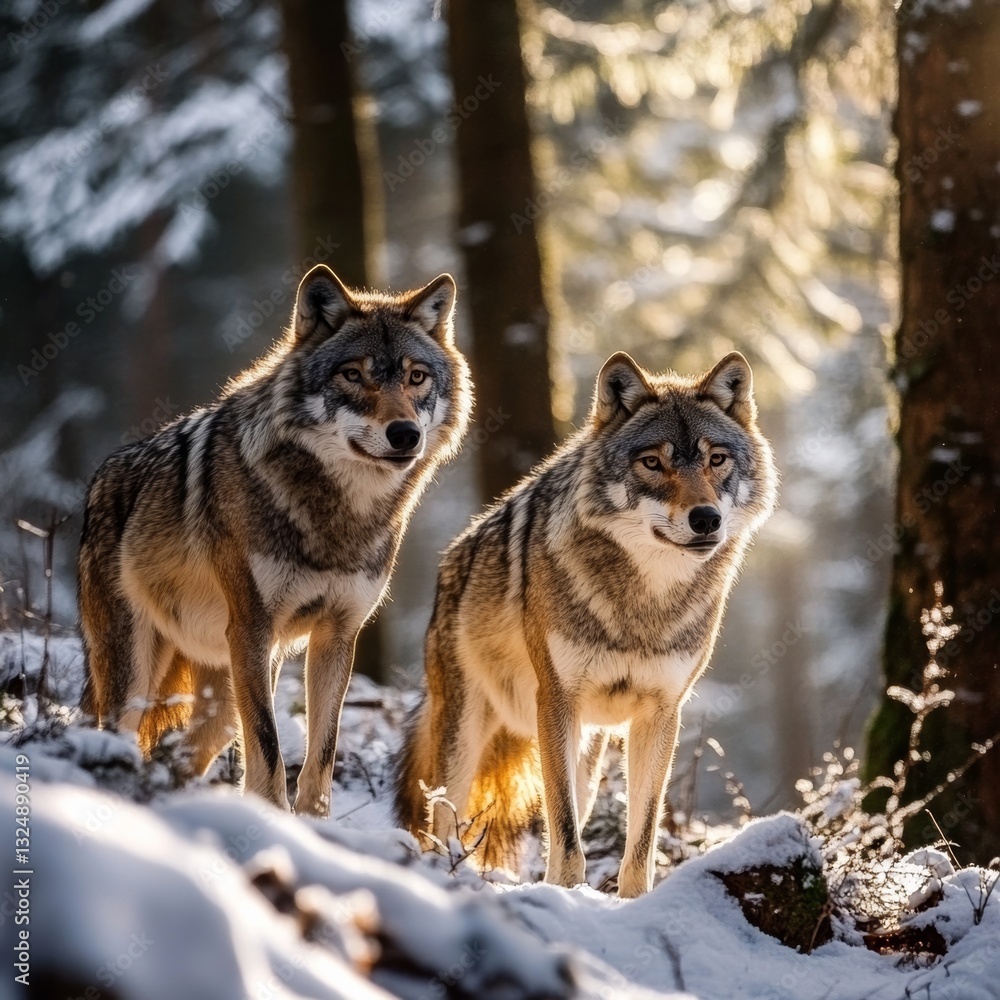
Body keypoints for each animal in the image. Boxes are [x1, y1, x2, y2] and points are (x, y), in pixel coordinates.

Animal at [79, 264, 472, 815]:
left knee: (175, 756)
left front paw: (312, 824)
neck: (339, 517)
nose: (405, 434)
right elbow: (267, 748)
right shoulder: (253, 629)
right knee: (121, 739)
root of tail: (100, 480)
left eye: (417, 377)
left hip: (222, 700)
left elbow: (321, 753)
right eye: (353, 374)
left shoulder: (337, 635)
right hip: (139, 678)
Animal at [395, 351, 777, 896]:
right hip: (467, 732)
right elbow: (564, 825)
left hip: (588, 750)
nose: (706, 519)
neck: (644, 603)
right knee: (444, 819)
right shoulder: (555, 700)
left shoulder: (662, 713)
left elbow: (641, 834)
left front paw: (635, 901)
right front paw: (567, 893)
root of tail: (453, 558)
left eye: (716, 459)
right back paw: (446, 874)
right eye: (652, 462)